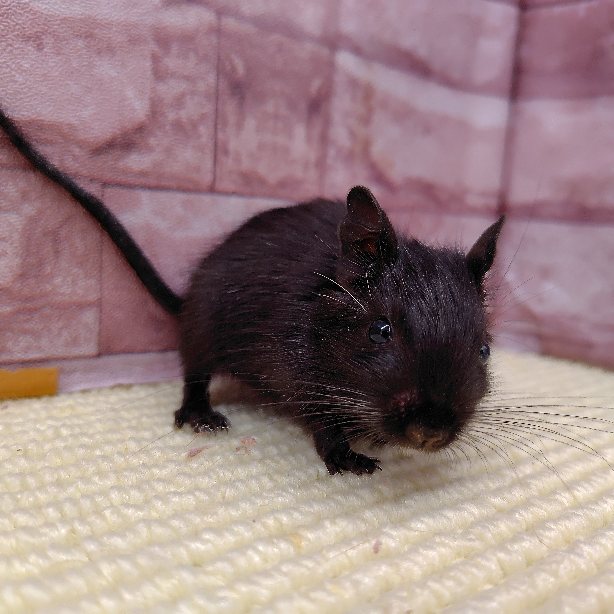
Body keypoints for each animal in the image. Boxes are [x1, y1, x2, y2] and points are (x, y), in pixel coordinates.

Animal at [0, 107, 503, 475]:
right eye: (380, 331)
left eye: (484, 351)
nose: (430, 434)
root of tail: (186, 301)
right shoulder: (302, 378)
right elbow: (323, 423)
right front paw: (350, 459)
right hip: (203, 328)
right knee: (195, 373)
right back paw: (202, 417)